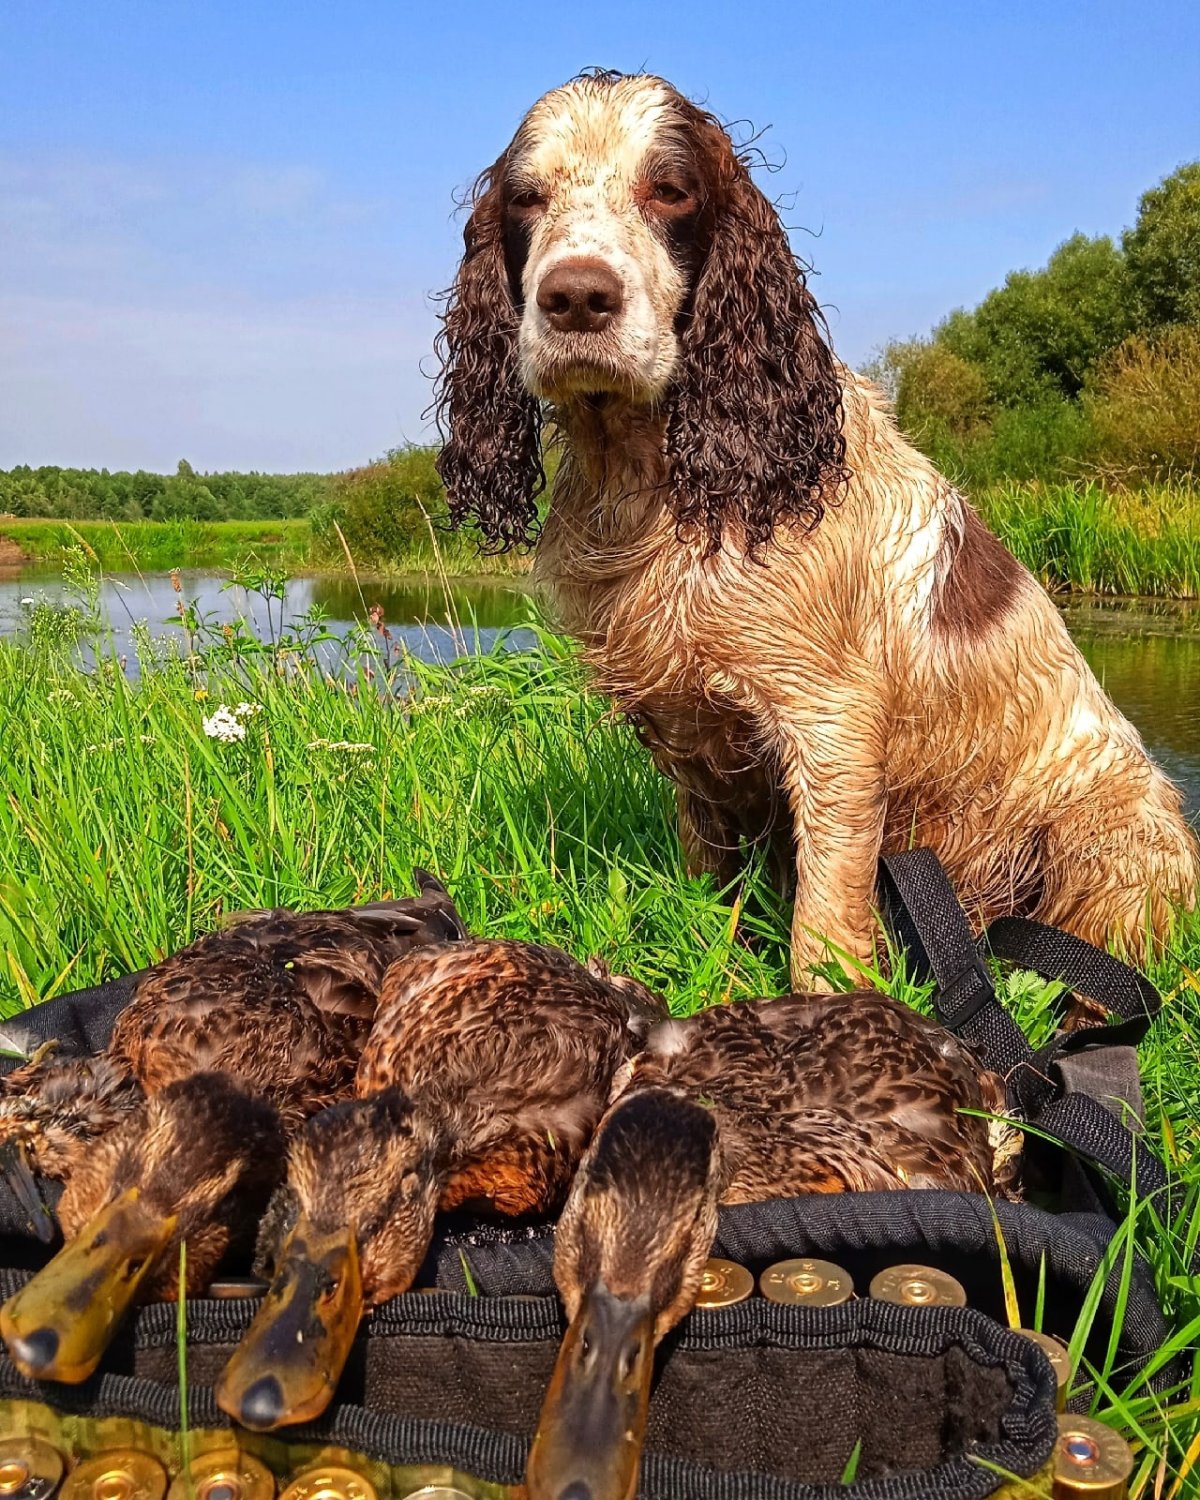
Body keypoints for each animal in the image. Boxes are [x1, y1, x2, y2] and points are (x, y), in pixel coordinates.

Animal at [435, 73, 1194, 984]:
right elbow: (709, 883)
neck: (658, 476)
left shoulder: (833, 731)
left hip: (1115, 844)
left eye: (671, 191)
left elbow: (823, 925)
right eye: (525, 198)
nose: (577, 297)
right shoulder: (696, 743)